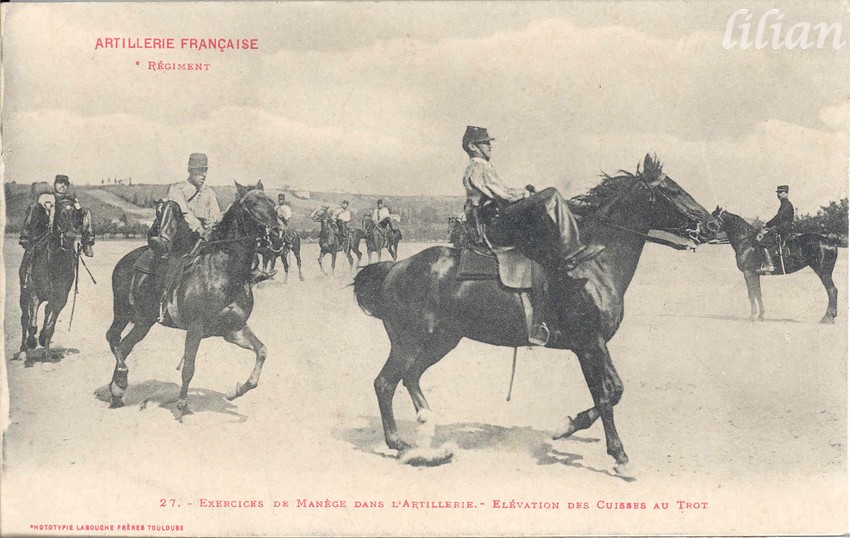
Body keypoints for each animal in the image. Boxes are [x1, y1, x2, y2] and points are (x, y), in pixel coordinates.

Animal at [15, 196, 83, 360]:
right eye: (60, 213)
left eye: (75, 215)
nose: (70, 236)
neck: (55, 263)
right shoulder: (34, 294)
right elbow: (32, 324)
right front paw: (31, 342)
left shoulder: (61, 298)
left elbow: (50, 325)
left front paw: (45, 349)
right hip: (23, 294)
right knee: (24, 319)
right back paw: (23, 349)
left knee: (46, 311)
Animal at [105, 180, 282, 414]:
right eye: (252, 204)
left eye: (271, 202)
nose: (278, 234)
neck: (224, 271)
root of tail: (125, 260)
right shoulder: (196, 328)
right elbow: (189, 367)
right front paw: (181, 403)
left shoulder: (233, 329)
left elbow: (262, 351)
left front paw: (236, 391)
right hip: (122, 311)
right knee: (113, 338)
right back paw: (120, 381)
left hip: (144, 321)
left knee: (125, 345)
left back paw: (117, 389)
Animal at [352, 153, 716, 472]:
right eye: (672, 190)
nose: (713, 223)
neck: (592, 265)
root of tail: (395, 267)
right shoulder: (592, 341)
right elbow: (612, 392)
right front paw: (597, 442)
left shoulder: (585, 347)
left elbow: (604, 395)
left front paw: (590, 438)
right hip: (410, 341)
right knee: (385, 383)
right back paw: (402, 445)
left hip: (442, 340)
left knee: (410, 377)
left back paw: (428, 429)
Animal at [704, 205, 840, 322]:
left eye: (712, 220)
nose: (704, 234)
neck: (746, 242)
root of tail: (830, 241)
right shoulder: (755, 274)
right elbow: (757, 294)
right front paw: (760, 316)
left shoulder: (748, 273)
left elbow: (752, 294)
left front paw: (752, 316)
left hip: (823, 272)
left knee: (832, 290)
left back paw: (827, 318)